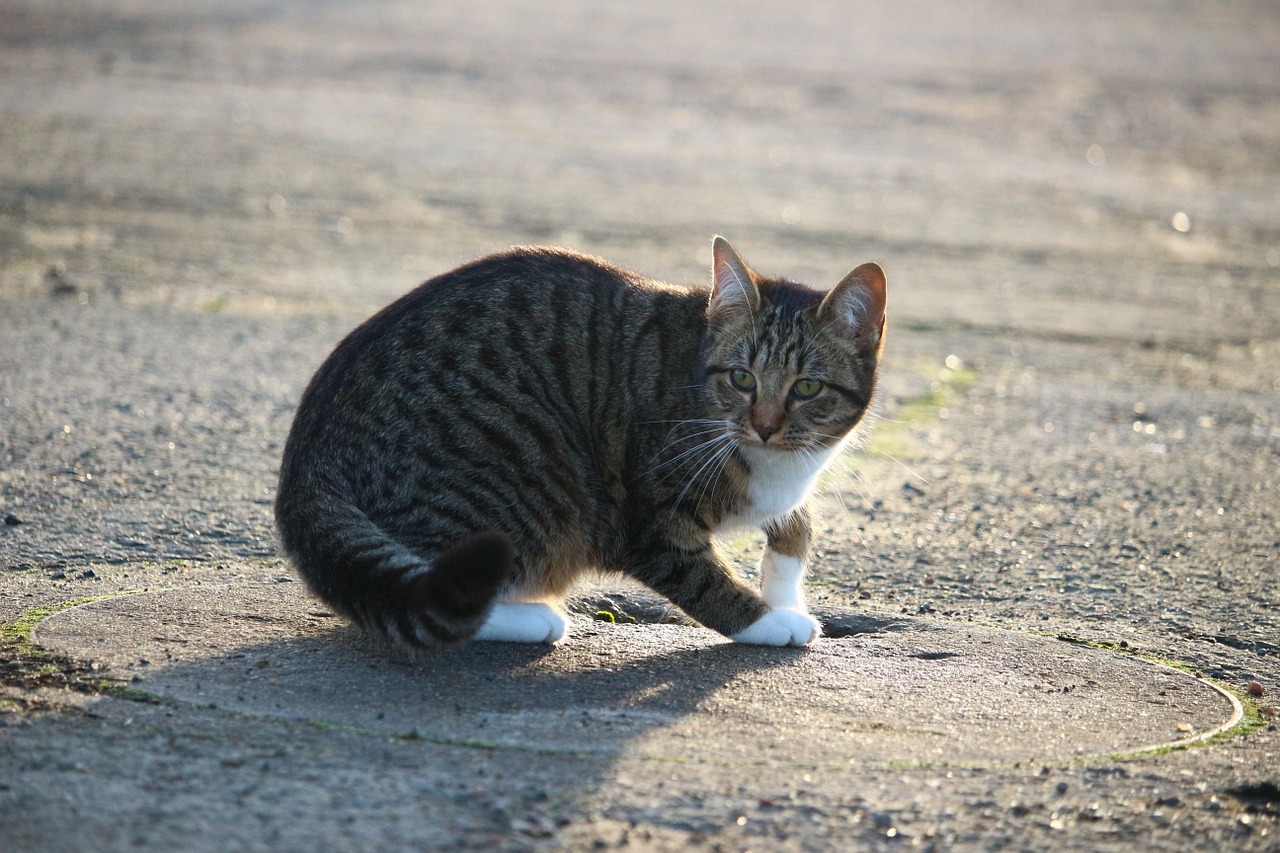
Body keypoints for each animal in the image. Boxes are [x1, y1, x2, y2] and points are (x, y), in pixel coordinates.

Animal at [275, 235, 885, 648]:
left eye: (807, 387)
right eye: (742, 378)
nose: (763, 425)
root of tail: (303, 459)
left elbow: (796, 530)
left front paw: (786, 591)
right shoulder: (649, 521)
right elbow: (702, 579)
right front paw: (772, 619)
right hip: (519, 484)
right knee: (442, 594)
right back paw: (531, 616)